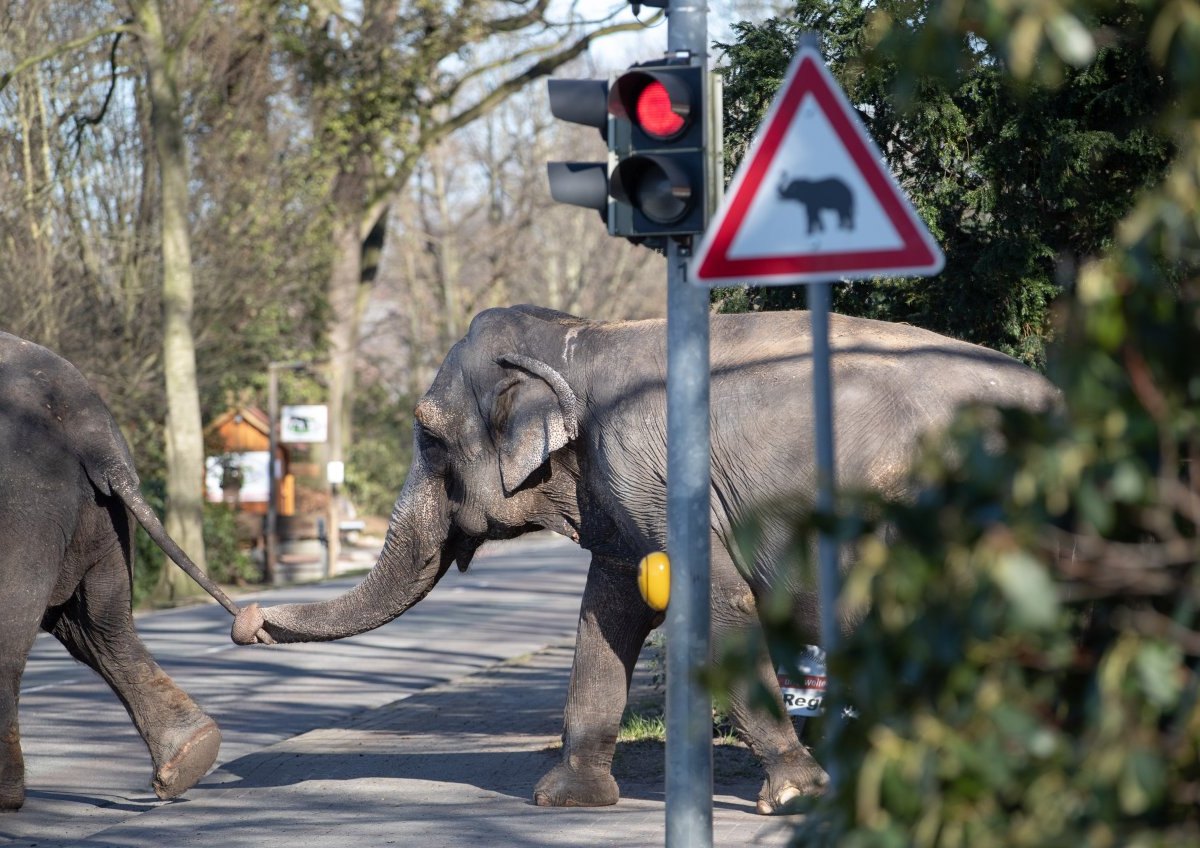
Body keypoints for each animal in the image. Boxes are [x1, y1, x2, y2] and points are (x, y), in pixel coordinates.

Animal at [0, 331, 223, 810]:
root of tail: (92, 434)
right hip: (102, 519)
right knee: (101, 625)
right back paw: (193, 755)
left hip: (25, 508)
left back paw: (4, 797)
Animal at [229, 307, 1056, 815]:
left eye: (429, 437)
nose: (245, 618)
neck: (581, 336)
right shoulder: (619, 496)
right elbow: (608, 612)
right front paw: (564, 800)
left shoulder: (655, 474)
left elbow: (716, 606)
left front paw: (790, 798)